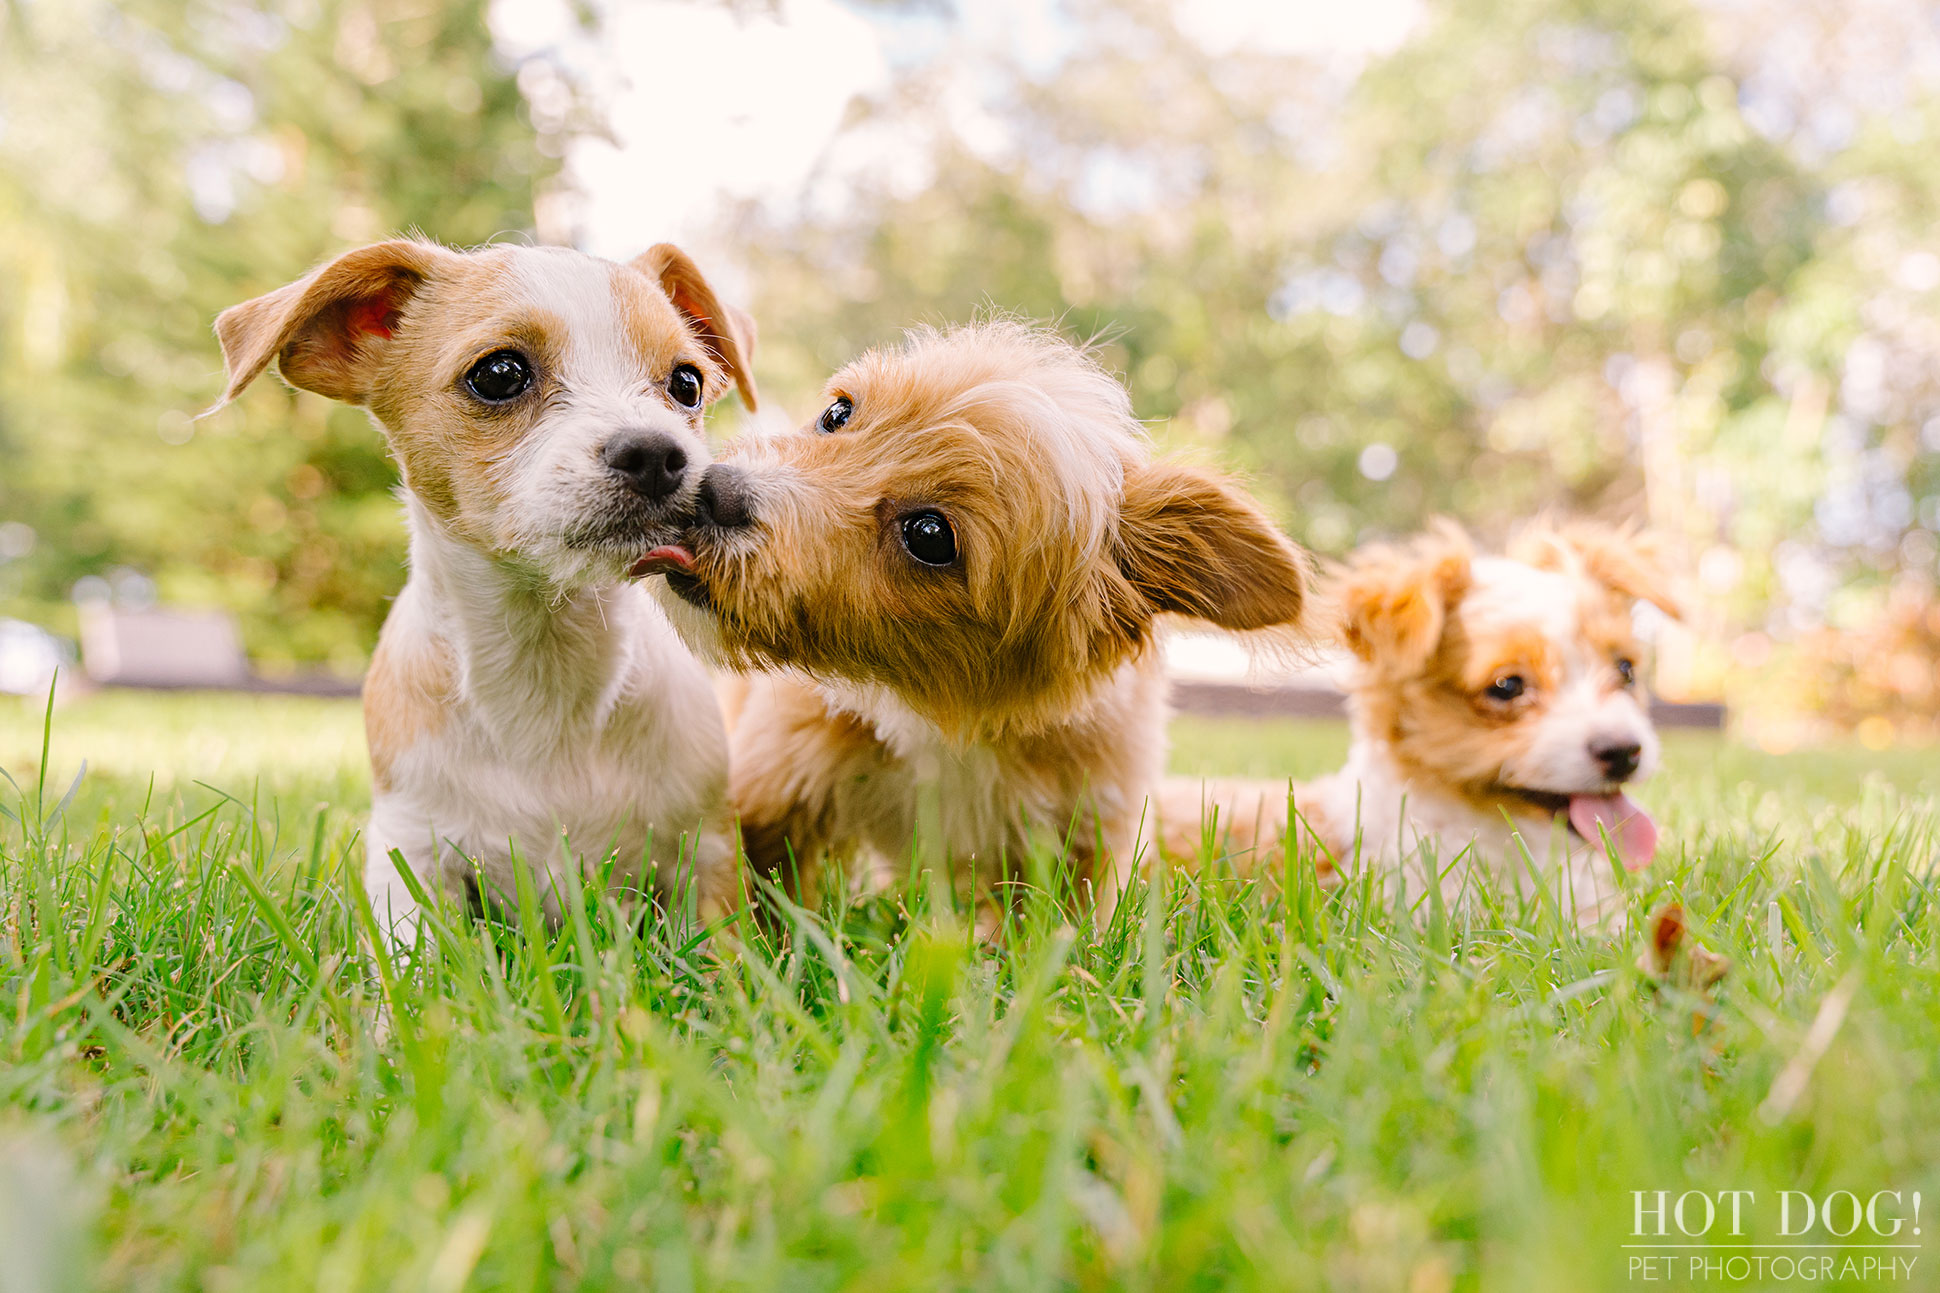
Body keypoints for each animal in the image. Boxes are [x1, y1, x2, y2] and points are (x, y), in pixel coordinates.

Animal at [210, 236, 756, 943]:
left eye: (687, 383)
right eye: (499, 374)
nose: (660, 455)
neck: (546, 664)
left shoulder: (705, 855)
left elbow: (723, 956)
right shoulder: (408, 853)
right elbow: (414, 961)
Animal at [644, 318, 1311, 912]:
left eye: (930, 534)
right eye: (838, 414)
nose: (714, 492)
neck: (934, 715)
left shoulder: (1083, 850)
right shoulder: (774, 799)